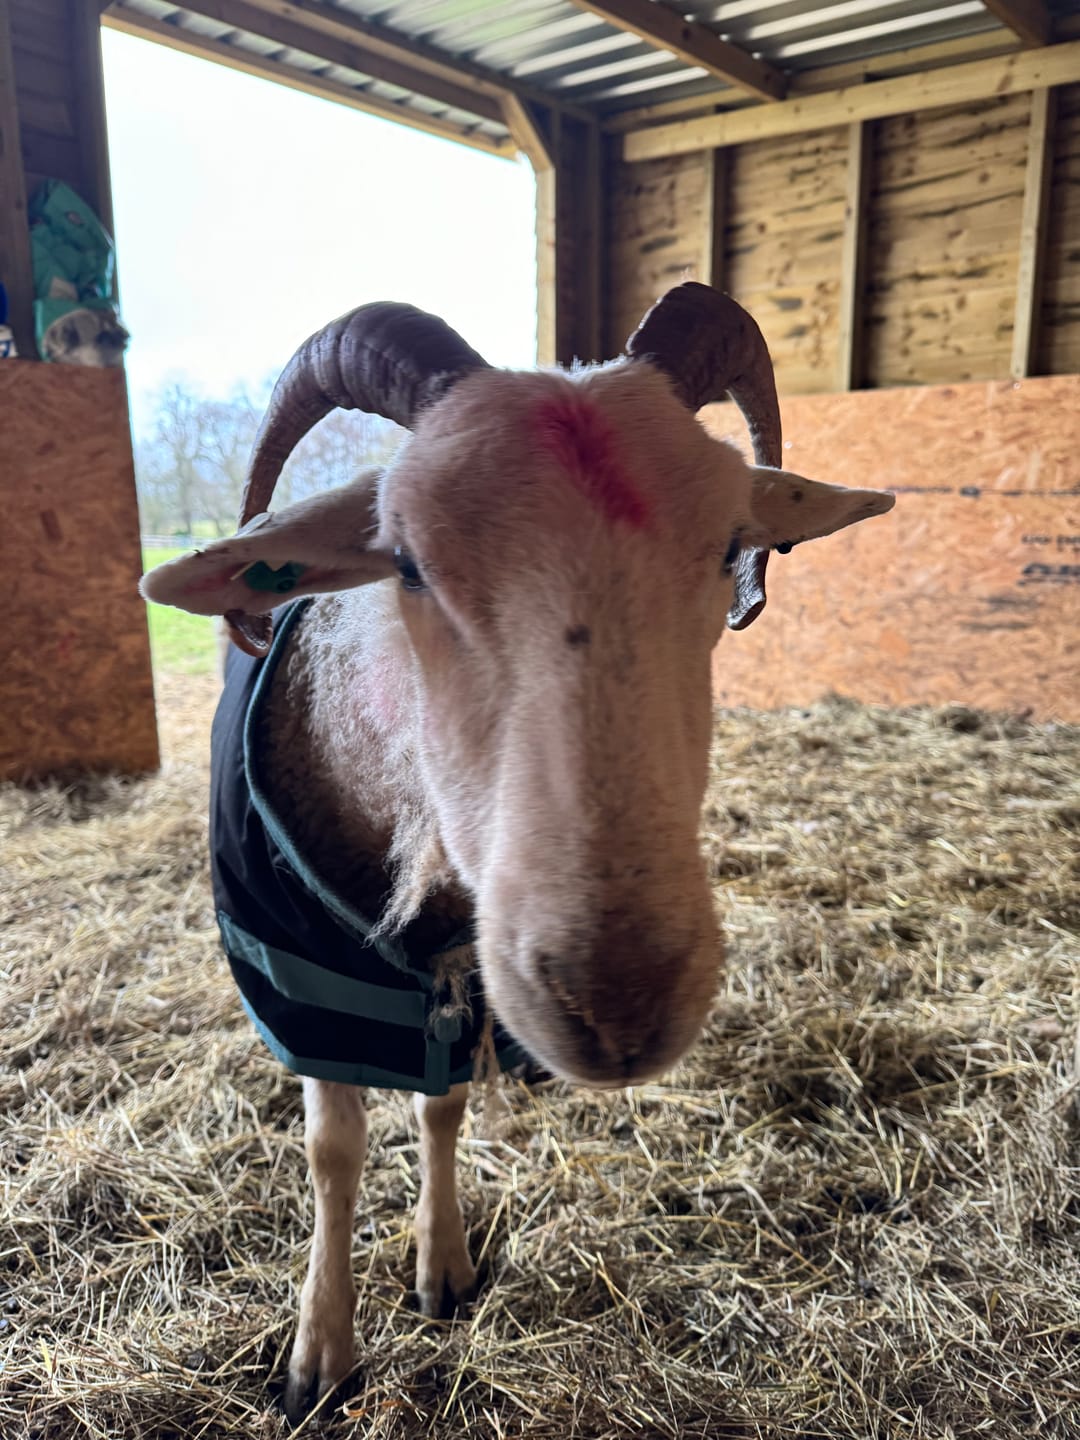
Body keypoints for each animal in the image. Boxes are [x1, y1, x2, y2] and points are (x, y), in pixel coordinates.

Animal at [141, 282, 894, 1420]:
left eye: (733, 546)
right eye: (404, 563)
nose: (619, 1002)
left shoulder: (461, 981)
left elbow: (443, 1110)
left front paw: (441, 1266)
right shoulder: (304, 981)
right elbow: (332, 1152)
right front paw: (321, 1355)